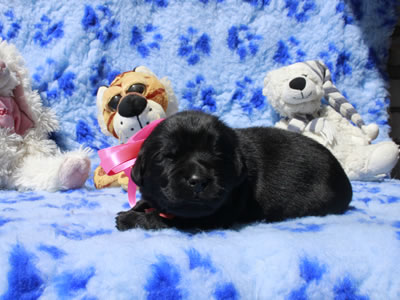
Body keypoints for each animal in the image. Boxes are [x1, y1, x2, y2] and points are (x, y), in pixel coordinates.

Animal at [115, 110, 350, 230]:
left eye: (217, 155)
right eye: (168, 157)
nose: (198, 180)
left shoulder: (211, 215)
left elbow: (163, 219)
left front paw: (130, 219)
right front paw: (134, 208)